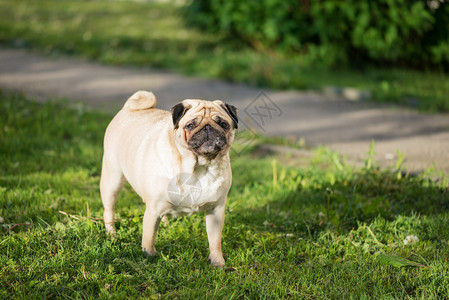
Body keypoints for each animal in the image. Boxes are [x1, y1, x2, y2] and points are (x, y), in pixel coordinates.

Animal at [99, 90, 236, 266]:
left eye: (224, 124)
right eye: (190, 125)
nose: (208, 128)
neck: (199, 167)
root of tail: (128, 108)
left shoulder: (216, 211)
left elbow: (215, 240)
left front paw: (217, 262)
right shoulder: (152, 210)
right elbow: (148, 238)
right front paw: (149, 258)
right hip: (113, 180)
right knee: (109, 210)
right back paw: (112, 235)